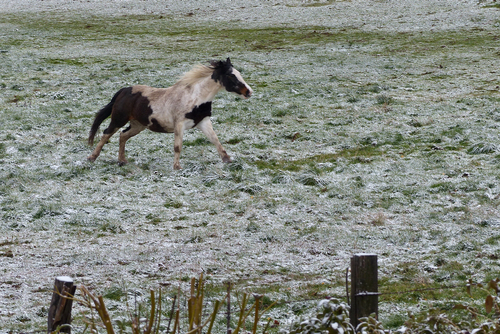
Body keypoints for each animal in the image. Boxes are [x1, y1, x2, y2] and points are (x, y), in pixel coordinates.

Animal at [87, 57, 252, 170]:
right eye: (231, 75)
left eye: (238, 73)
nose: (249, 92)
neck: (195, 97)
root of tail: (124, 91)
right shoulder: (179, 124)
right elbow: (178, 146)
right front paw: (177, 167)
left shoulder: (203, 122)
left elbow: (215, 140)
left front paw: (227, 159)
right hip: (118, 119)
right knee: (106, 134)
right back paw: (92, 157)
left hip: (138, 125)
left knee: (122, 135)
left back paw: (122, 161)